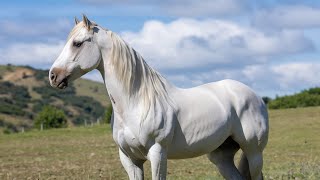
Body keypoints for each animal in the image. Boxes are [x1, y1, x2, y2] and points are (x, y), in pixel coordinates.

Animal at [49, 15, 268, 180]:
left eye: (77, 43)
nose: (53, 76)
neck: (136, 102)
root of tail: (255, 97)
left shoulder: (157, 153)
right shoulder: (129, 158)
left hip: (254, 152)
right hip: (221, 156)